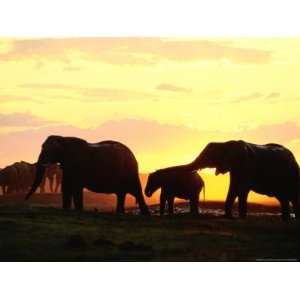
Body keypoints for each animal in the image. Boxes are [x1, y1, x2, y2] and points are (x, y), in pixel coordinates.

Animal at [164, 139, 300, 221]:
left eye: (210, 156)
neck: (226, 143)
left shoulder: (246, 166)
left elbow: (242, 190)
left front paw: (241, 218)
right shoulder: (234, 169)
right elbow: (233, 189)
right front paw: (229, 217)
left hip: (293, 174)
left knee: (292, 197)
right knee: (283, 198)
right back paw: (286, 221)